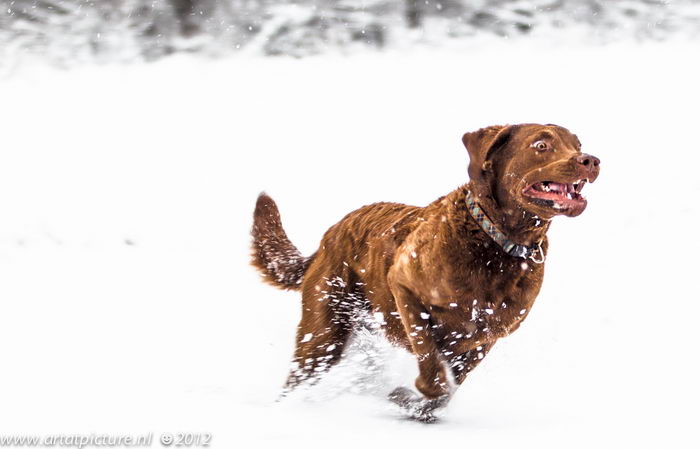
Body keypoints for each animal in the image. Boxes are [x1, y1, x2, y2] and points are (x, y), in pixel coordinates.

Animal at [252, 123, 600, 420]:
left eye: (577, 145)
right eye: (541, 145)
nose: (591, 160)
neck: (494, 243)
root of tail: (327, 237)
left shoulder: (485, 337)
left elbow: (451, 386)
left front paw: (414, 405)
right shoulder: (405, 290)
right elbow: (431, 361)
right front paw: (416, 394)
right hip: (323, 333)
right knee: (298, 377)